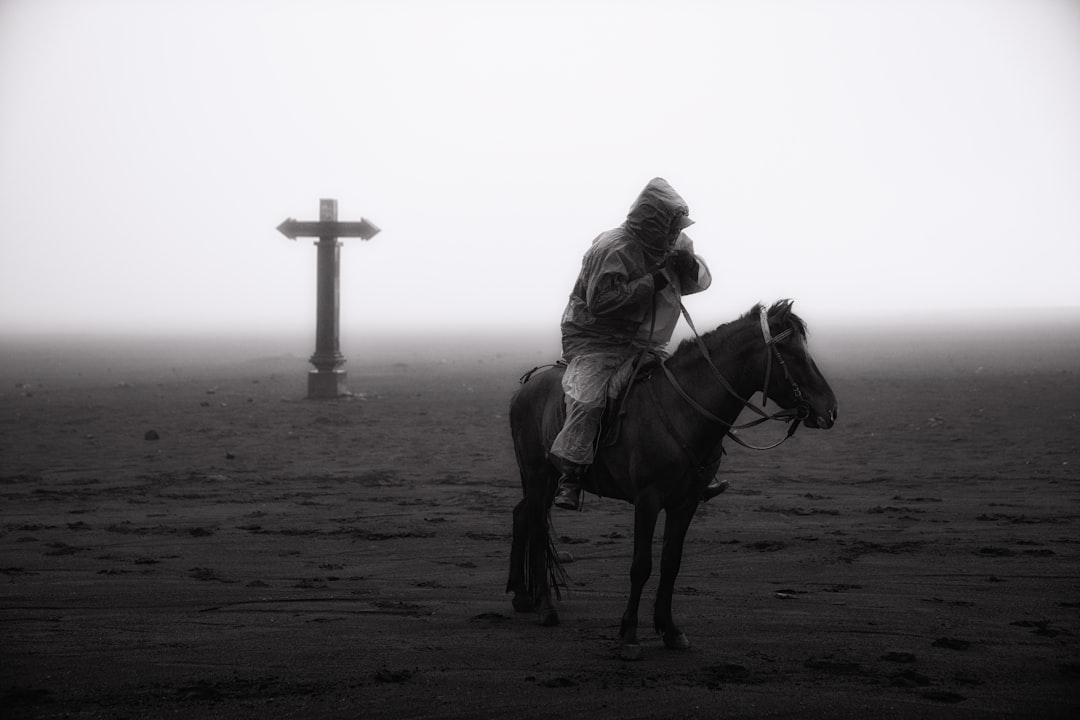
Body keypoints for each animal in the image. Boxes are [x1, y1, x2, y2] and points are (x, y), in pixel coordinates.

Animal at [503, 302, 833, 656]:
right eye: (793, 354)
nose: (830, 410)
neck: (684, 411)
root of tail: (526, 386)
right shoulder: (648, 500)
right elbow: (641, 565)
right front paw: (629, 633)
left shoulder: (685, 502)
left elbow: (671, 563)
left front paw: (670, 630)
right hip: (540, 476)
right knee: (536, 528)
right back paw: (546, 608)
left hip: (539, 480)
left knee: (521, 515)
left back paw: (523, 596)